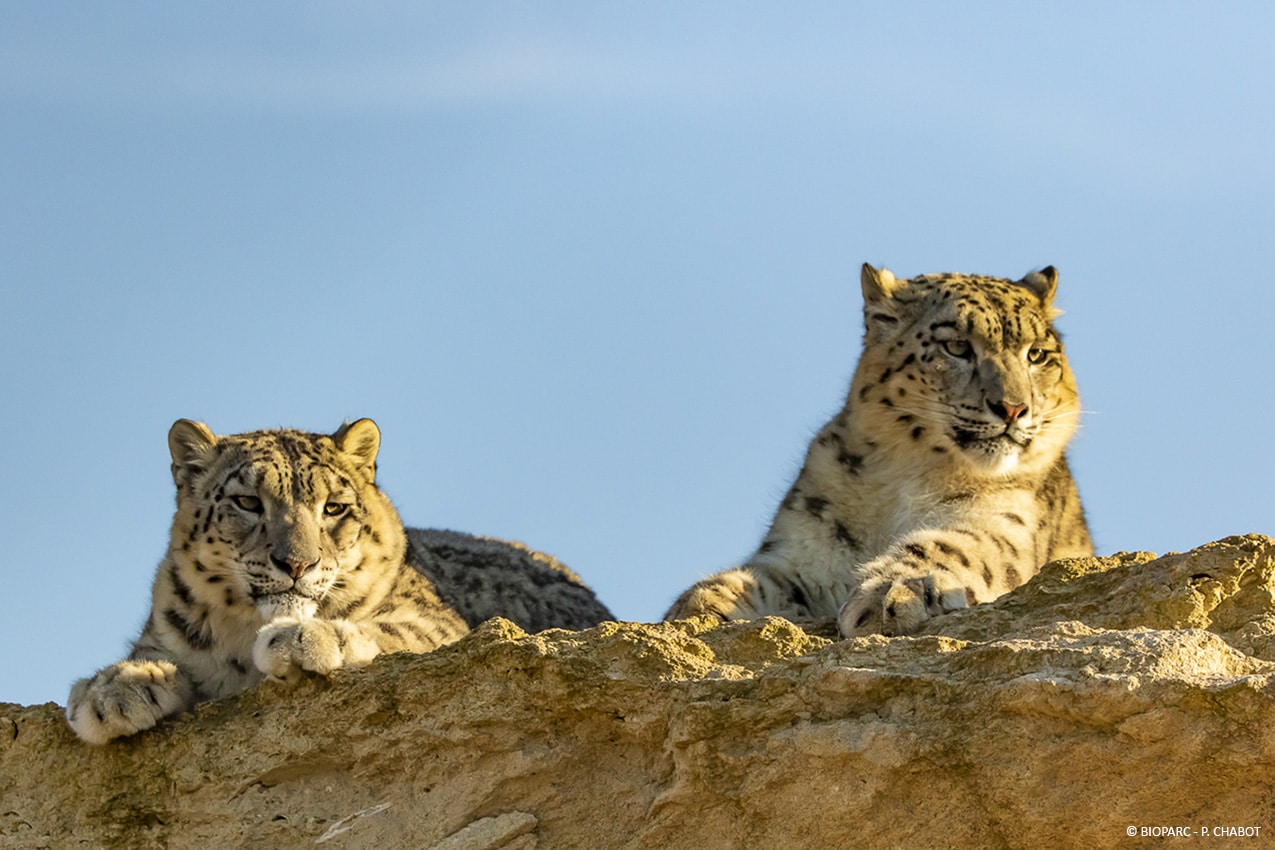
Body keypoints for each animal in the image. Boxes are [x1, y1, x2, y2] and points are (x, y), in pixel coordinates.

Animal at [64, 420, 612, 744]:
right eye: (247, 502)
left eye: (334, 507)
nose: (296, 564)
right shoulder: (166, 628)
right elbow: (158, 650)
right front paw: (113, 688)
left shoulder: (441, 626)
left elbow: (398, 632)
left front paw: (303, 639)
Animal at [663, 266, 1091, 637]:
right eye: (956, 346)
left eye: (1037, 354)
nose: (1013, 408)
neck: (904, 477)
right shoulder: (809, 544)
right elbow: (765, 578)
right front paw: (697, 606)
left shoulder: (1001, 521)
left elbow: (950, 545)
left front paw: (889, 594)